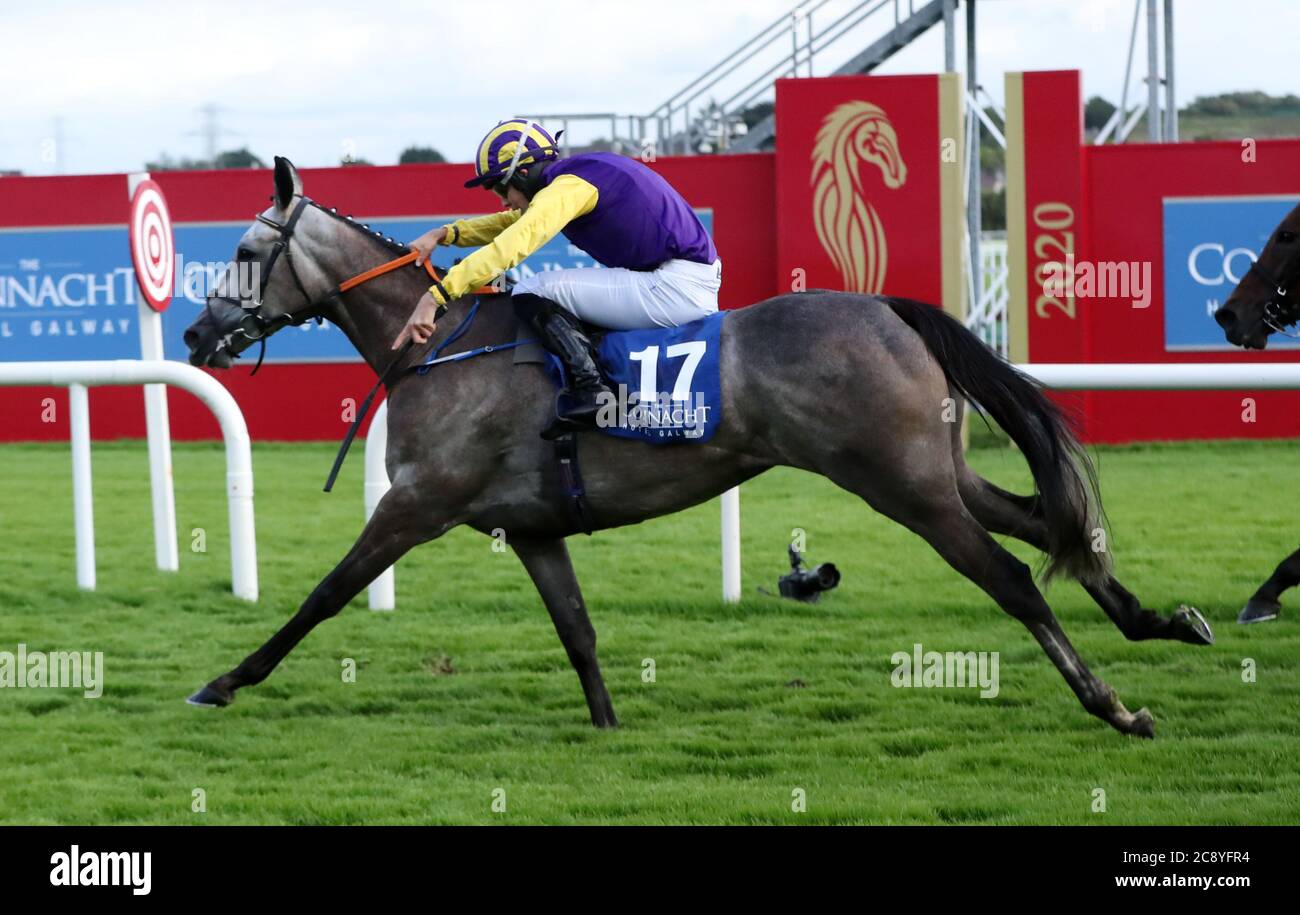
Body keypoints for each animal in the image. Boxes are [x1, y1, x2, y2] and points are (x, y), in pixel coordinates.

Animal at [180, 157, 1206, 738]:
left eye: (244, 253)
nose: (195, 335)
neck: (442, 348)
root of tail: (885, 305)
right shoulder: (532, 527)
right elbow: (579, 631)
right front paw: (607, 726)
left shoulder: (416, 505)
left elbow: (323, 594)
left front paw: (225, 680)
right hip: (936, 469)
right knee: (1048, 522)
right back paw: (1161, 621)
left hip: (901, 484)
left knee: (1016, 576)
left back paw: (1113, 704)